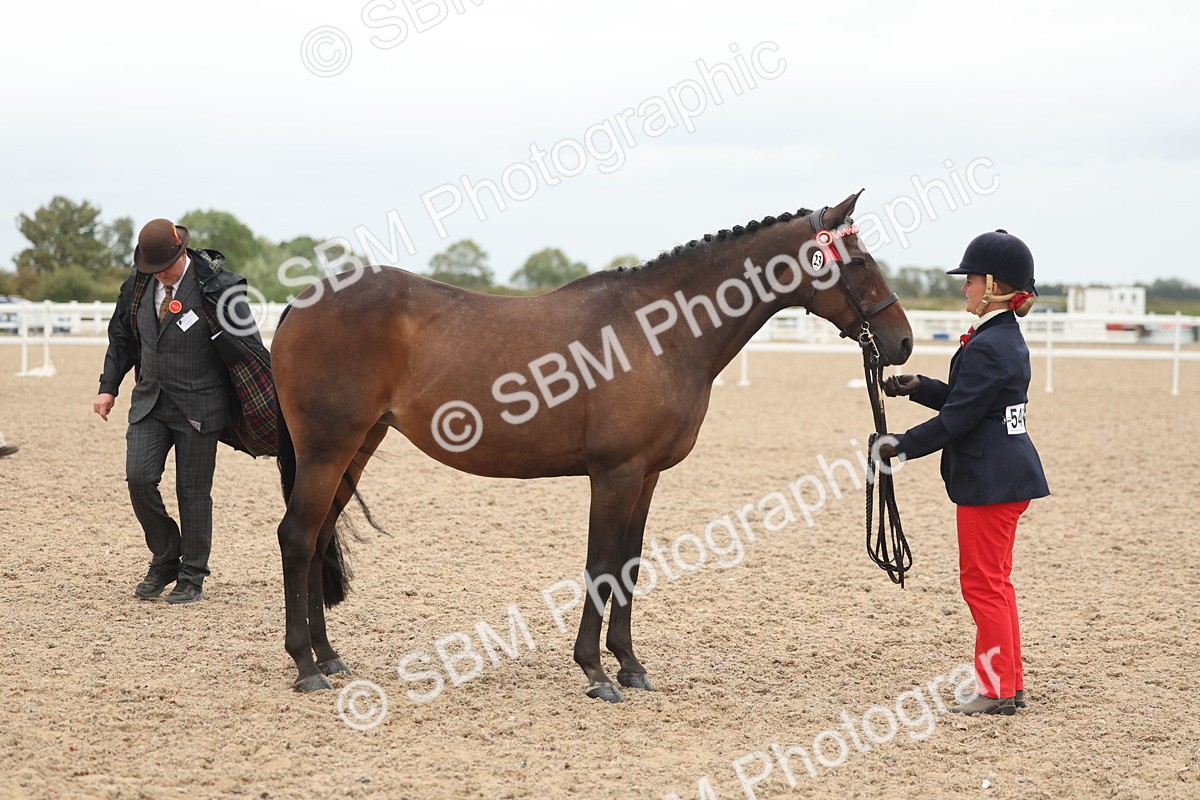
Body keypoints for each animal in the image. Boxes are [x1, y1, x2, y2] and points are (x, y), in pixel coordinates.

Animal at [271, 191, 913, 701]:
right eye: (858, 262)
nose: (902, 342)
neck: (660, 332)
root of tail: (302, 303)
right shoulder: (615, 473)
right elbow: (600, 564)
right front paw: (595, 672)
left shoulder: (647, 476)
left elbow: (628, 563)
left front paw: (629, 664)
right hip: (328, 448)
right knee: (298, 537)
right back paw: (306, 665)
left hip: (357, 446)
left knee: (320, 535)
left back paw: (330, 656)